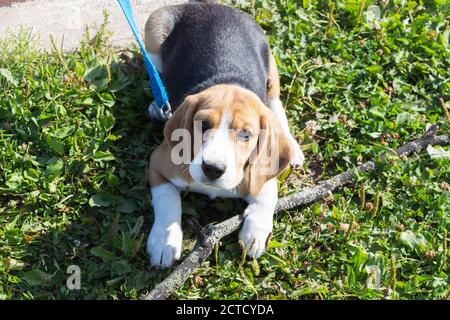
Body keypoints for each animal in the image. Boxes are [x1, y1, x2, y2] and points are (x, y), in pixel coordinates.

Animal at [146, 2, 304, 268]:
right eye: (203, 124)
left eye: (246, 134)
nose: (212, 169)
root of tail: (211, 6)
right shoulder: (158, 163)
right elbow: (167, 198)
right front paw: (164, 241)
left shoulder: (262, 176)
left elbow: (267, 197)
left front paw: (254, 234)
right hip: (153, 31)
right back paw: (158, 105)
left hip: (271, 63)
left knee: (275, 103)